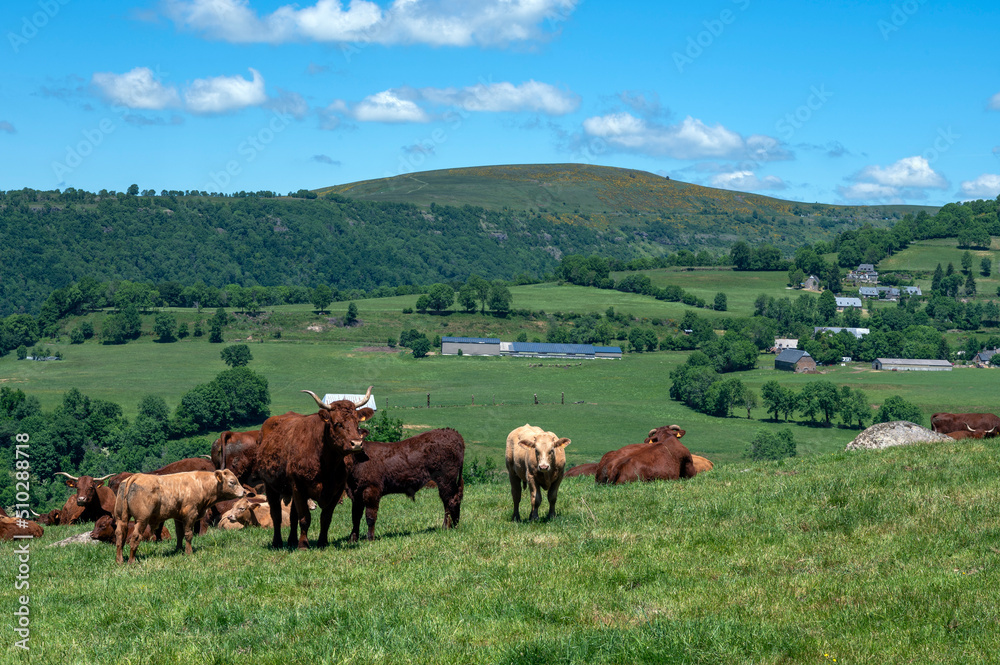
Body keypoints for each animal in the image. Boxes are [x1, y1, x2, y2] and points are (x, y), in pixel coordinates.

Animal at [113, 466, 244, 560]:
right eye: (232, 482)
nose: (244, 492)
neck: (200, 484)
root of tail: (135, 476)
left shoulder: (178, 517)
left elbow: (179, 534)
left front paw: (179, 550)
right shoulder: (190, 514)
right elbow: (188, 534)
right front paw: (189, 552)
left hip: (122, 518)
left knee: (120, 536)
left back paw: (120, 560)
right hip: (142, 520)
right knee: (135, 537)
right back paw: (132, 561)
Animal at [254, 386, 376, 548]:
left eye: (357, 423)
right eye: (338, 423)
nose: (356, 443)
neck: (327, 465)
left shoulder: (337, 489)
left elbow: (325, 517)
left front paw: (322, 542)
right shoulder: (299, 487)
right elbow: (305, 518)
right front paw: (303, 545)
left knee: (292, 516)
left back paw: (292, 540)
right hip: (270, 486)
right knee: (276, 515)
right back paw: (277, 542)